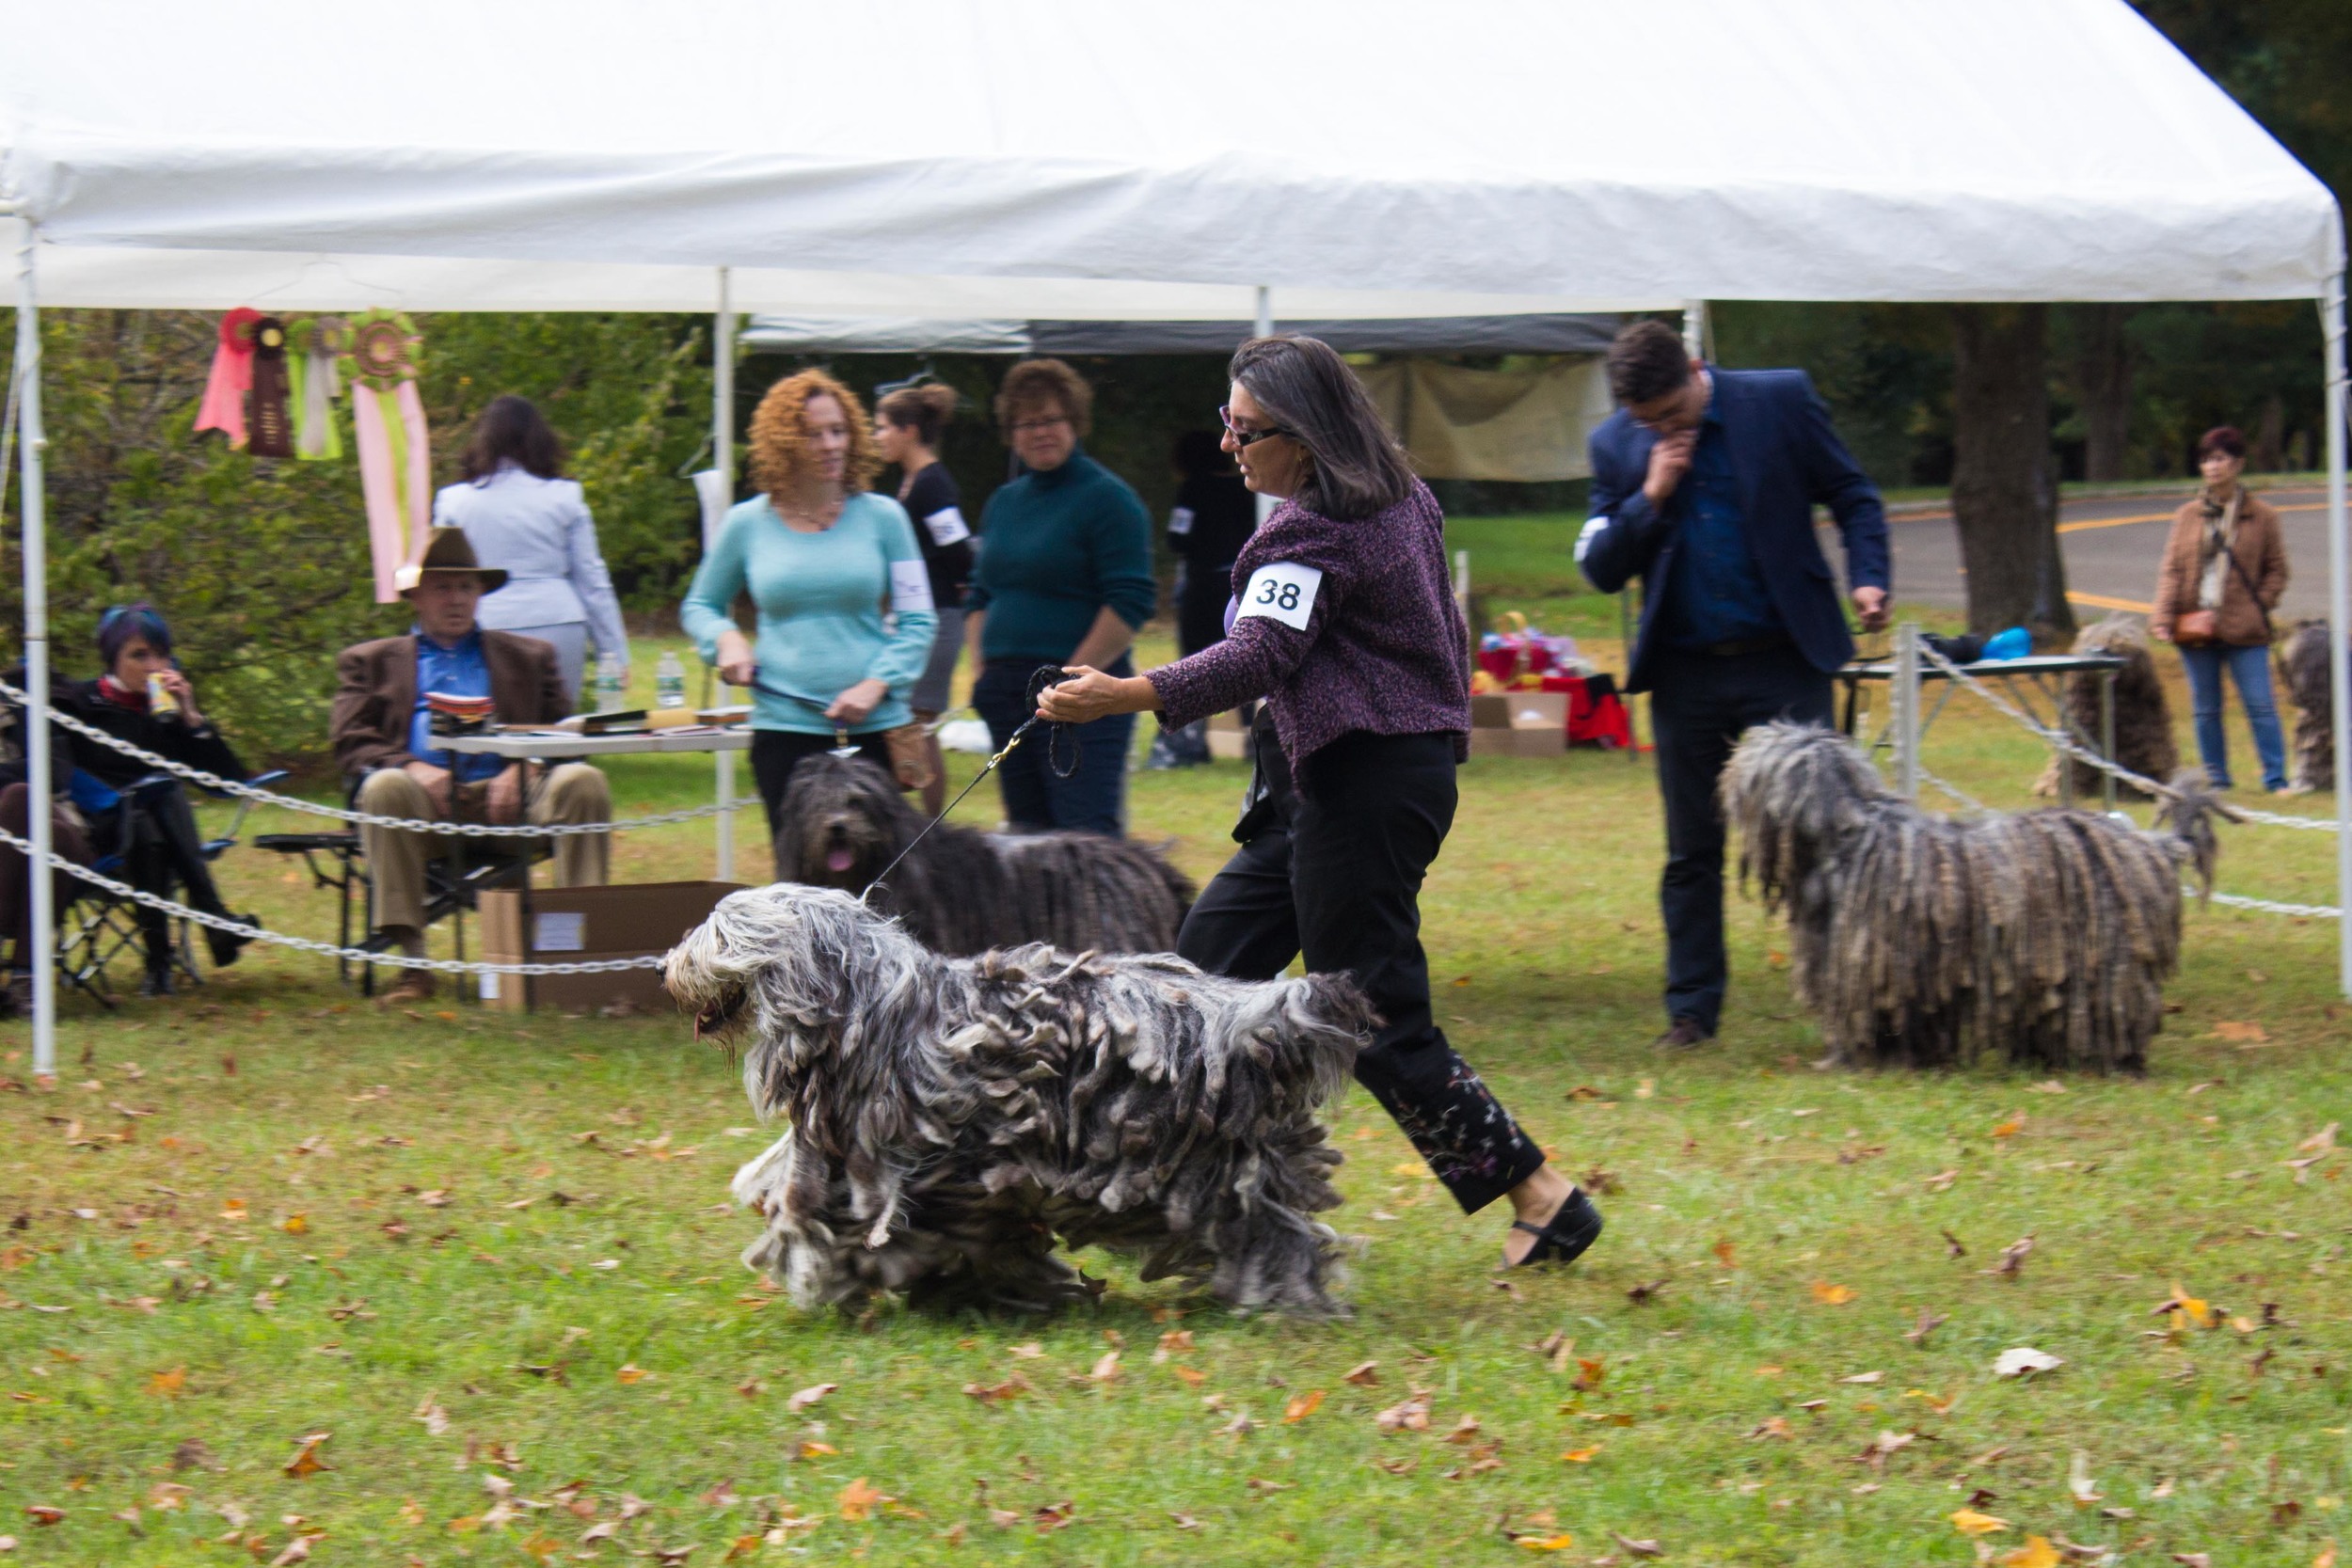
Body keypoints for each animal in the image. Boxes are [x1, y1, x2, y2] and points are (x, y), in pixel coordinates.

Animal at [663, 883, 1374, 1316]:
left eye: (718, 932)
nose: (666, 967)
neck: (872, 1010)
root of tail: (1246, 1019)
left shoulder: (925, 1175)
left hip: (1208, 1170)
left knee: (1273, 1237)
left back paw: (1288, 1303)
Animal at [1731, 719, 2220, 1071]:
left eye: (1754, 767)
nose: (1736, 750)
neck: (1851, 835)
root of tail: (2152, 845)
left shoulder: (1867, 966)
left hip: (2106, 961)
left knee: (2118, 1010)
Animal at [2032, 610, 2173, 803]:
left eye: (2124, 643)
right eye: (2100, 640)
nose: (2110, 650)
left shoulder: (2144, 740)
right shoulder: (2079, 735)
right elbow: (2075, 764)